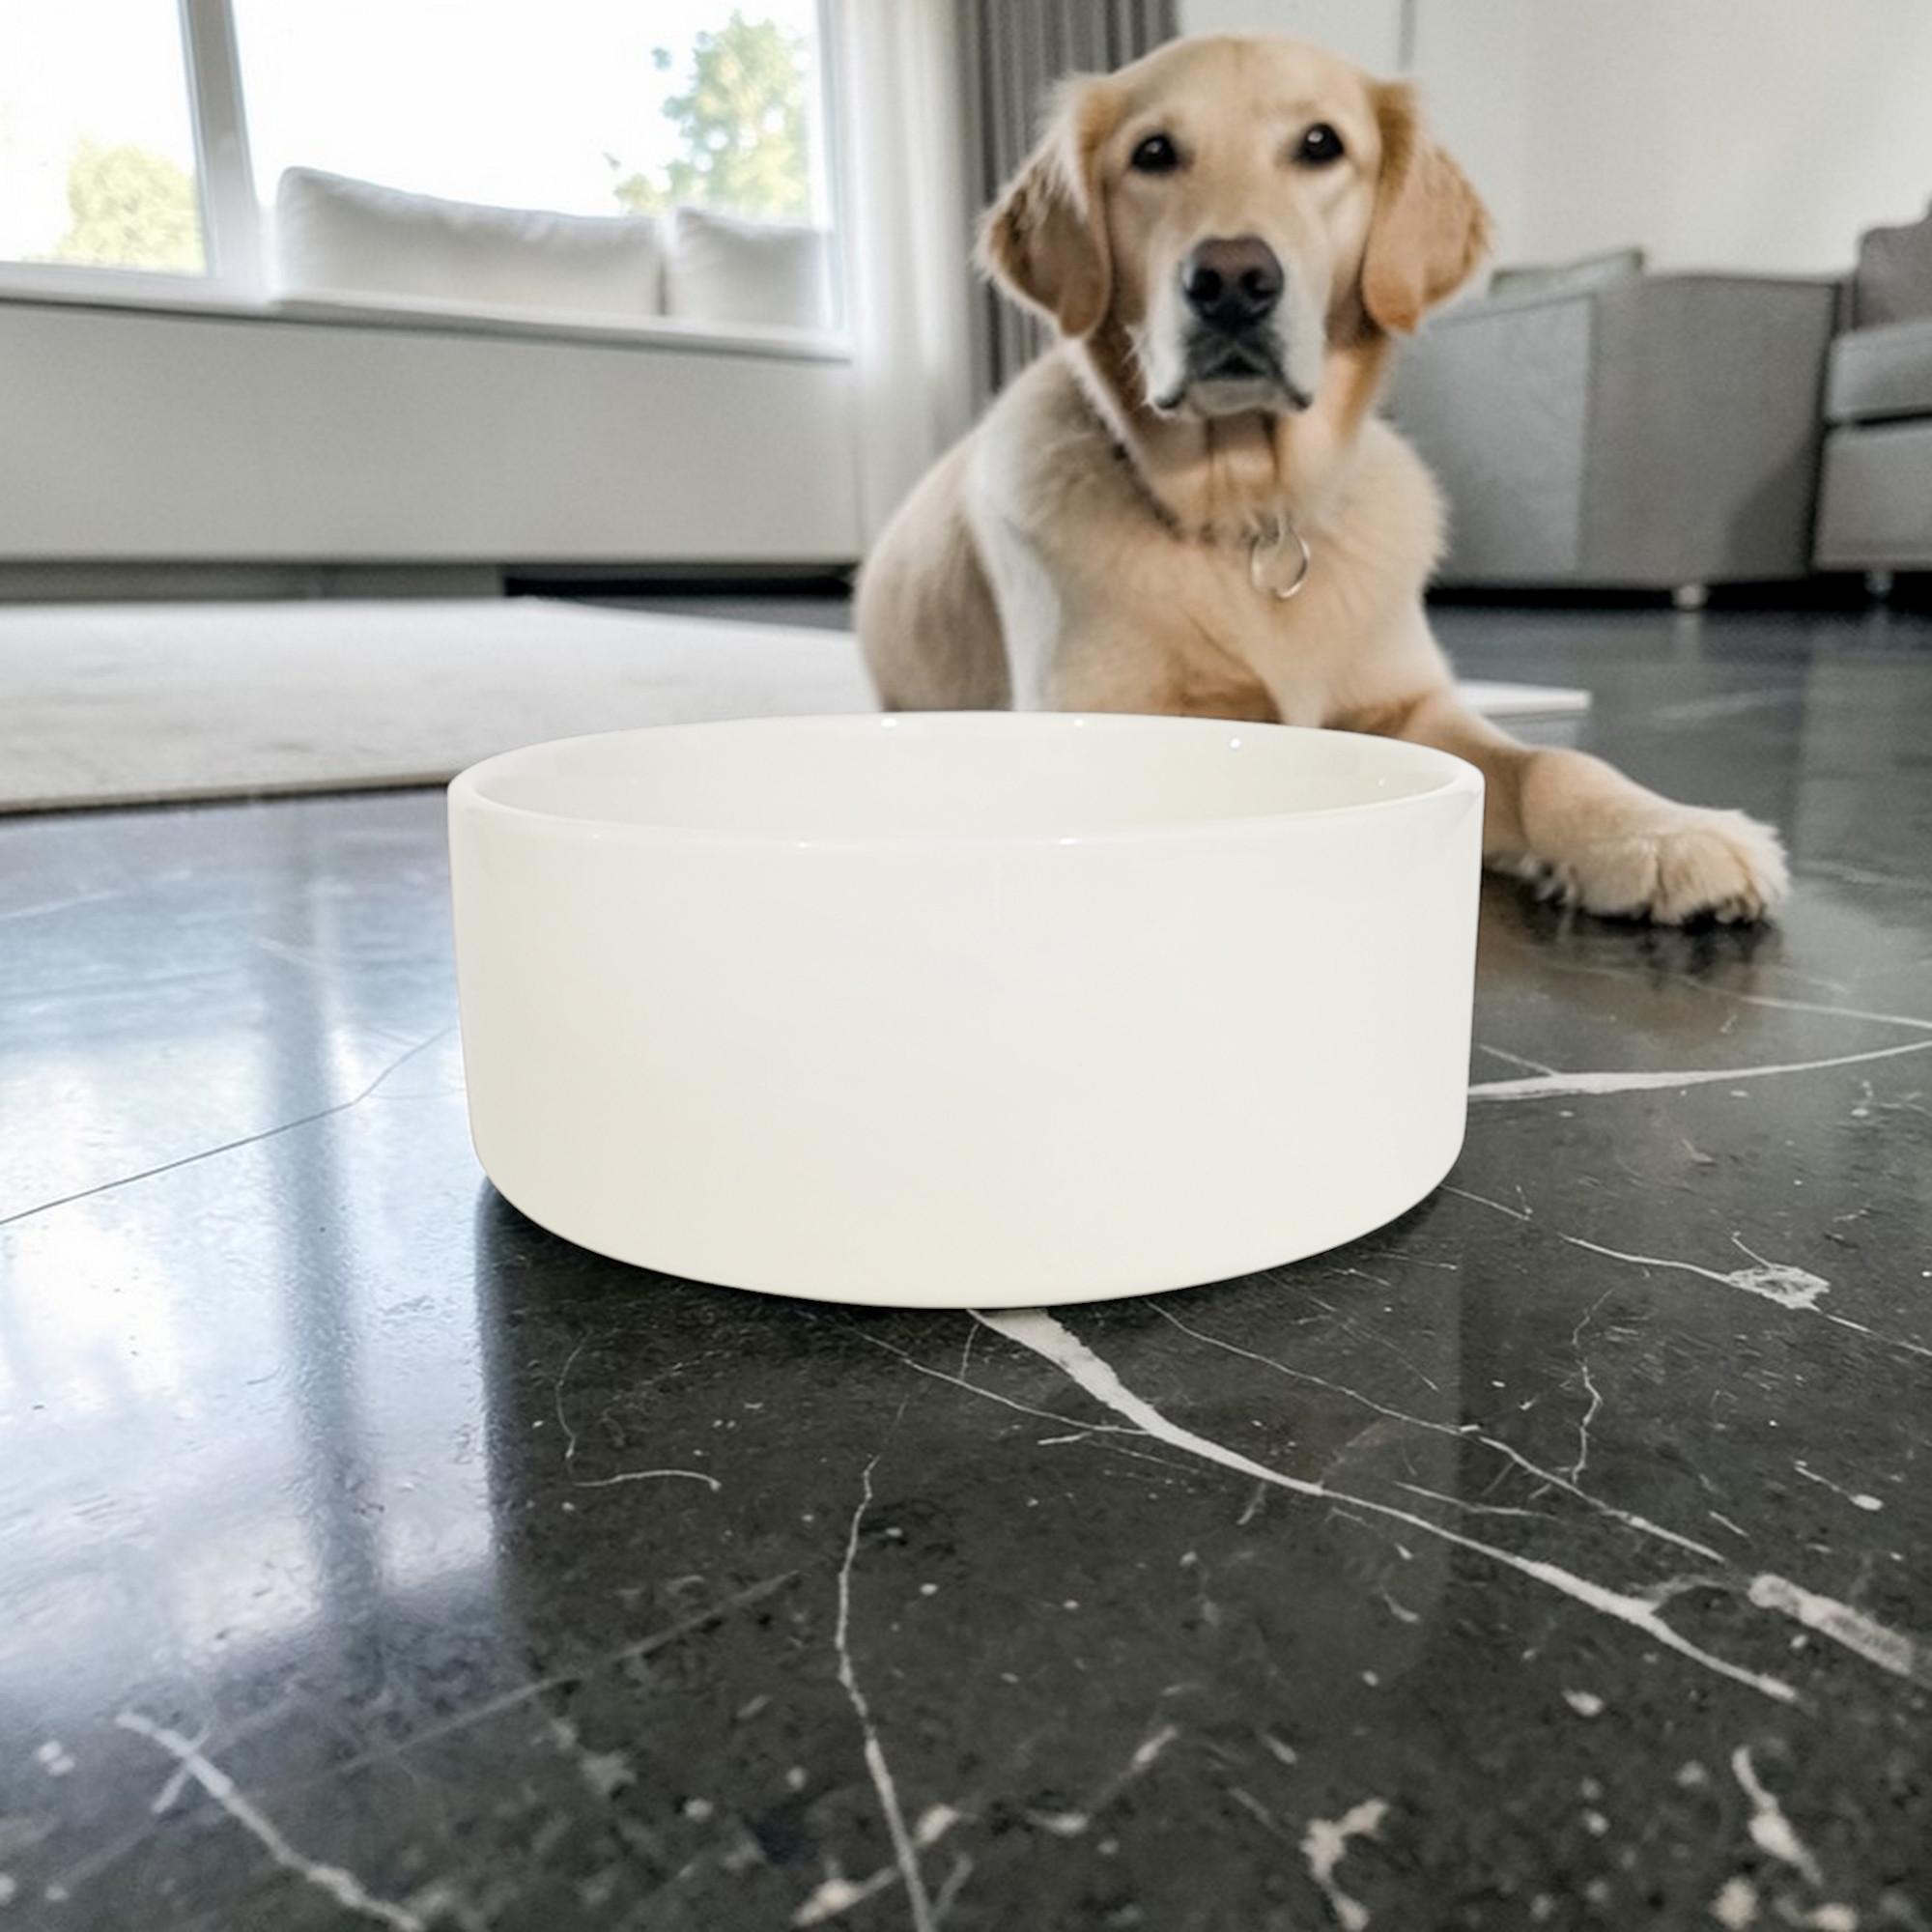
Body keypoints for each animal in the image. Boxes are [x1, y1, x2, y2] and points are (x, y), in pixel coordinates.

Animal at [857, 34, 1788, 924]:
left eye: (1320, 145)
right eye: (1154, 153)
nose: (1233, 280)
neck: (1250, 514)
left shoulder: (1413, 703)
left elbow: (1550, 759)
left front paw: (1664, 833)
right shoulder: (1093, 710)